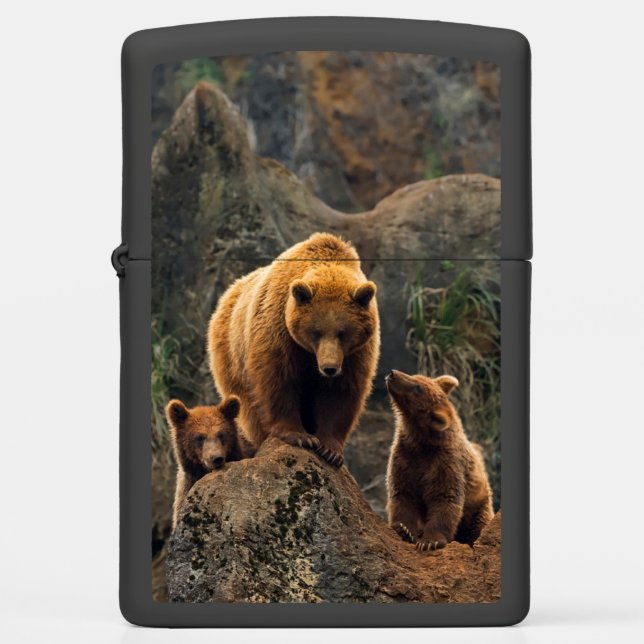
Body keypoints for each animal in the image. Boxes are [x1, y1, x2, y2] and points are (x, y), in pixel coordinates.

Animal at [207, 232, 380, 467]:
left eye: (343, 333)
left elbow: (340, 392)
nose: (329, 368)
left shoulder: (355, 353)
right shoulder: (279, 330)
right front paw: (300, 436)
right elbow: (278, 380)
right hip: (232, 357)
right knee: (249, 407)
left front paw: (330, 449)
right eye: (316, 332)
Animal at [385, 369, 494, 551]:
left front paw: (430, 541)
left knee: (477, 526)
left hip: (479, 506)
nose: (393, 374)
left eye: (418, 388)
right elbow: (402, 494)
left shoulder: (445, 463)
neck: (422, 442)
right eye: (416, 376)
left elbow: (444, 499)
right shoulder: (404, 457)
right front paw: (404, 529)